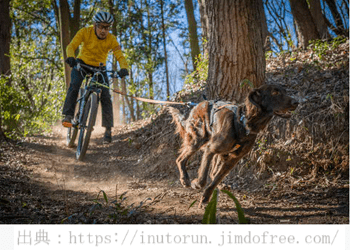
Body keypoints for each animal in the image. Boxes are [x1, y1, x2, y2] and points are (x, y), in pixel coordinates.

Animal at [167, 84, 298, 205]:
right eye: (275, 92)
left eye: (285, 91)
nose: (296, 102)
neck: (244, 124)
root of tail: (198, 104)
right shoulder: (210, 149)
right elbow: (203, 177)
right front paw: (197, 184)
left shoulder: (233, 159)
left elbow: (216, 179)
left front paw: (205, 198)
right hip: (198, 139)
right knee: (180, 159)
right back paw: (185, 180)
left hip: (221, 152)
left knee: (213, 172)